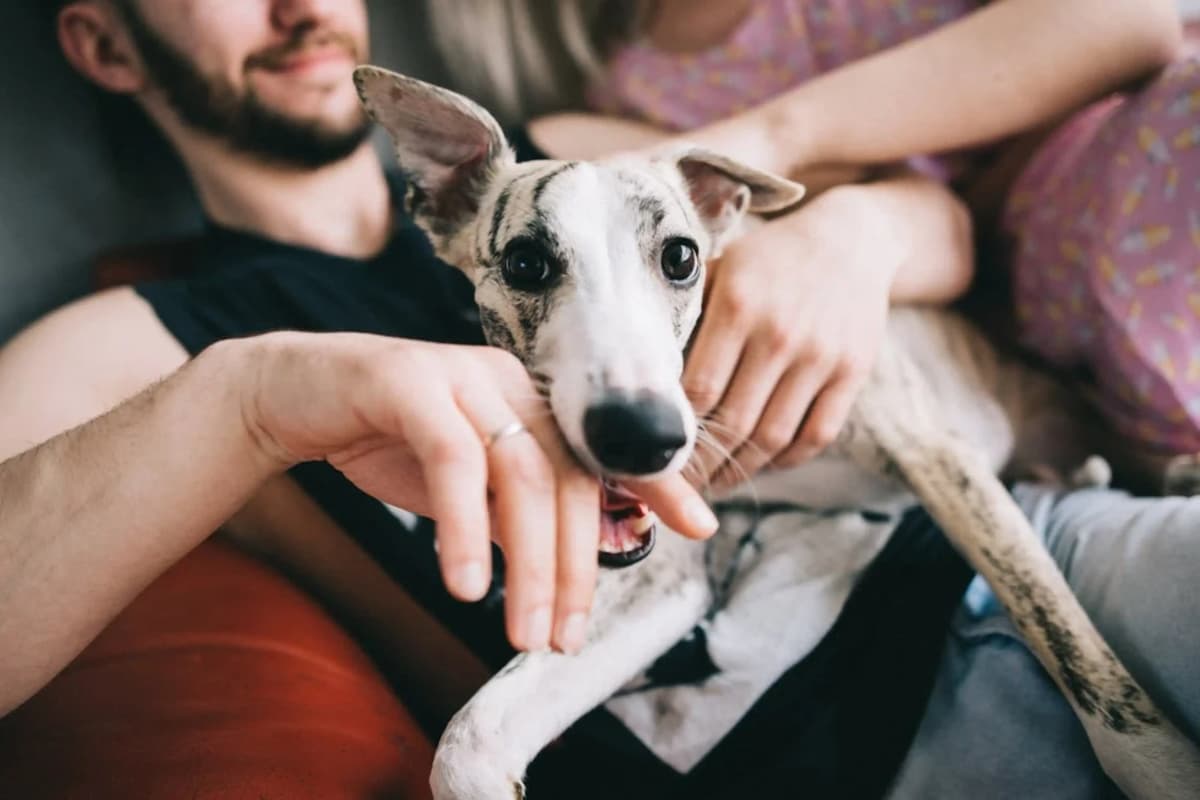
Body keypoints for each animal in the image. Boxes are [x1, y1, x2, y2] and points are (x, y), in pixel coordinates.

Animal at [350, 65, 1200, 796]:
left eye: (681, 257)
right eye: (526, 262)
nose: (642, 437)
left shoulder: (935, 454)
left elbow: (1084, 661)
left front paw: (1162, 770)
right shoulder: (667, 577)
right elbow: (471, 736)